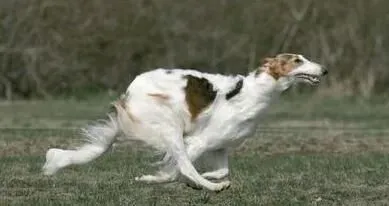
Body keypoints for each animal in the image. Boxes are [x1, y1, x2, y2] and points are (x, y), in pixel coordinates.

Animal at [43, 52, 328, 192]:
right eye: (297, 60)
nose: (325, 70)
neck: (254, 93)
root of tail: (130, 91)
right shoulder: (199, 141)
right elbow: (179, 170)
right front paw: (165, 179)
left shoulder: (220, 146)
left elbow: (220, 169)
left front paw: (207, 176)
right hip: (170, 127)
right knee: (185, 166)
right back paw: (211, 188)